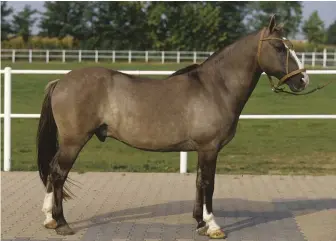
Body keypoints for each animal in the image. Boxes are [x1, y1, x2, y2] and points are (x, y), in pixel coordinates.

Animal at [36, 15, 310, 239]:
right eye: (279, 47)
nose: (303, 80)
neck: (215, 87)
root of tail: (61, 81)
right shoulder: (210, 149)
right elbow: (209, 184)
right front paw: (213, 226)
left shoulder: (202, 150)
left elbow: (199, 182)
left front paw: (199, 223)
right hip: (73, 142)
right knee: (58, 174)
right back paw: (61, 223)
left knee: (52, 171)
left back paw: (49, 219)